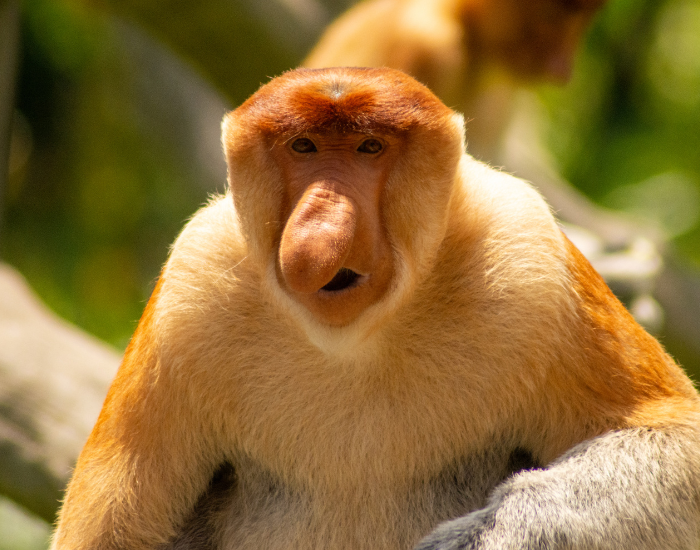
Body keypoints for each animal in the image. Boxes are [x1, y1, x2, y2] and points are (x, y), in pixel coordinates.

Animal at [51, 67, 700, 550]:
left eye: (370, 147)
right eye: (304, 146)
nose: (321, 227)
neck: (357, 340)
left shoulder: (529, 255)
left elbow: (676, 441)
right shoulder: (191, 285)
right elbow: (107, 530)